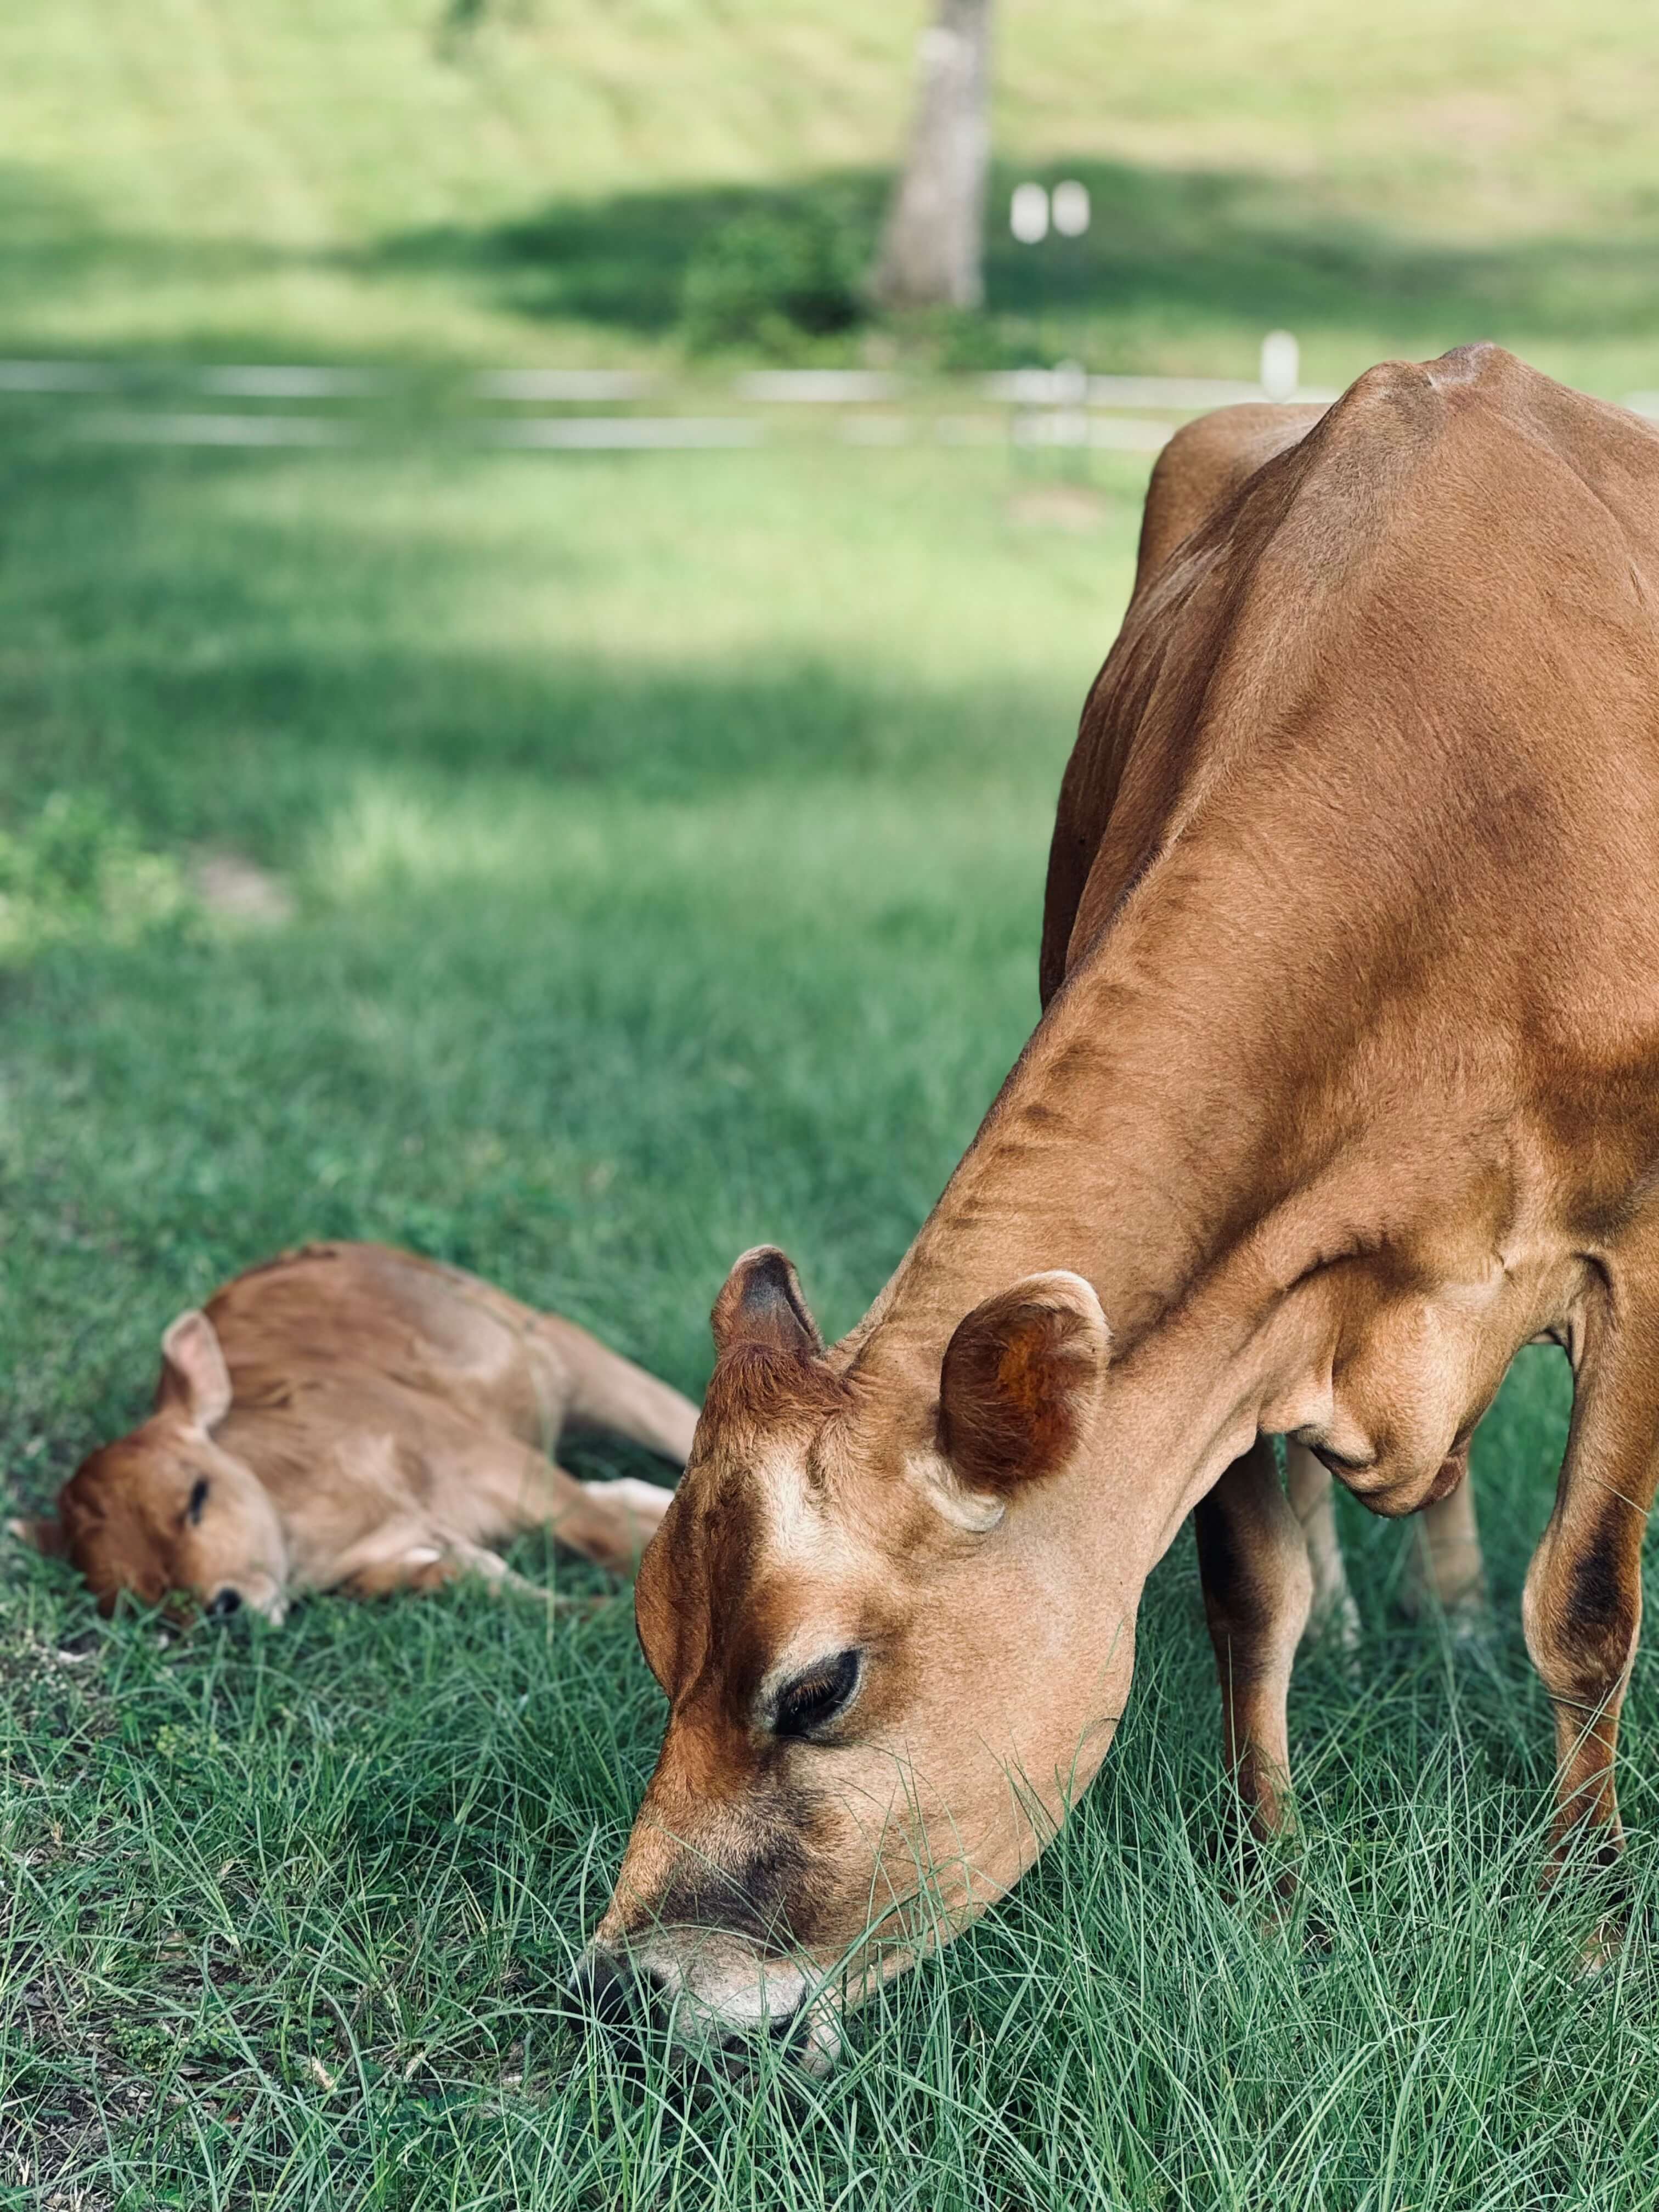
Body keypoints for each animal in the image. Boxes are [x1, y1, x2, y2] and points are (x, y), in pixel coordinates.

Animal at [17, 1242, 693, 1618]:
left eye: (198, 1497)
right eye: (145, 1600)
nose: (222, 1609)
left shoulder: (500, 1465)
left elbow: (614, 1538)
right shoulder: (409, 1563)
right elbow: (491, 1582)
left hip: (560, 1348)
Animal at [576, 346, 1659, 2070]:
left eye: (816, 1689)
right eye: (650, 1635)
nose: (631, 1990)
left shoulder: (1635, 1251)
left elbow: (1591, 1603)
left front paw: (1598, 1918)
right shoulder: (1243, 1303)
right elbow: (1252, 1593)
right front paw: (1272, 1883)